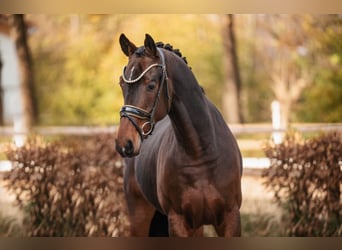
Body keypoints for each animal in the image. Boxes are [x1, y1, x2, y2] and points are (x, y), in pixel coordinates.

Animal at [116, 33, 242, 236]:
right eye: (122, 84)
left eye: (151, 85)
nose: (124, 143)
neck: (200, 152)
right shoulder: (178, 220)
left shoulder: (230, 218)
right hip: (139, 216)